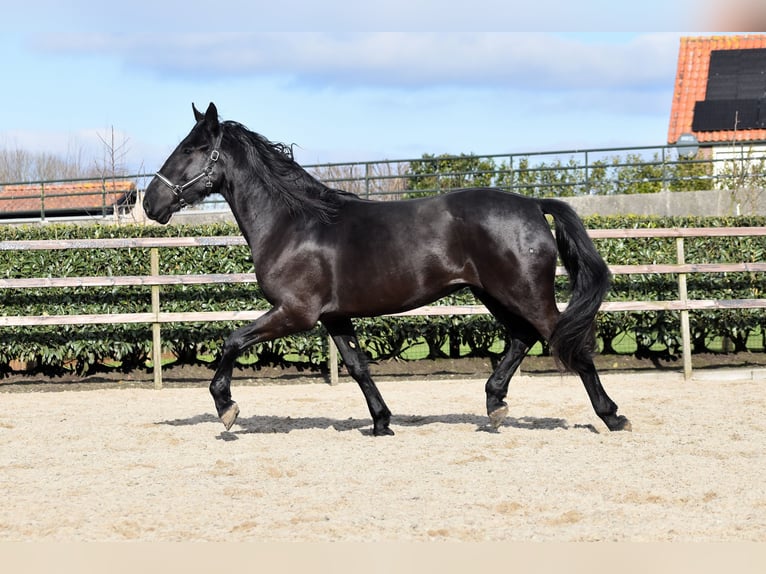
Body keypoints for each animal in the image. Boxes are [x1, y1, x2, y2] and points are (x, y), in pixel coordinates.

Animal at [143, 102, 631, 435]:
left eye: (191, 148)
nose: (150, 203)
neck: (293, 223)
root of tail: (532, 204)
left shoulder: (295, 313)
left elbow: (232, 341)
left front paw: (226, 407)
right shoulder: (334, 317)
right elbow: (358, 367)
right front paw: (381, 422)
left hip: (524, 292)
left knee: (569, 344)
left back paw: (612, 416)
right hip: (493, 293)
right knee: (523, 337)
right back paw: (494, 406)